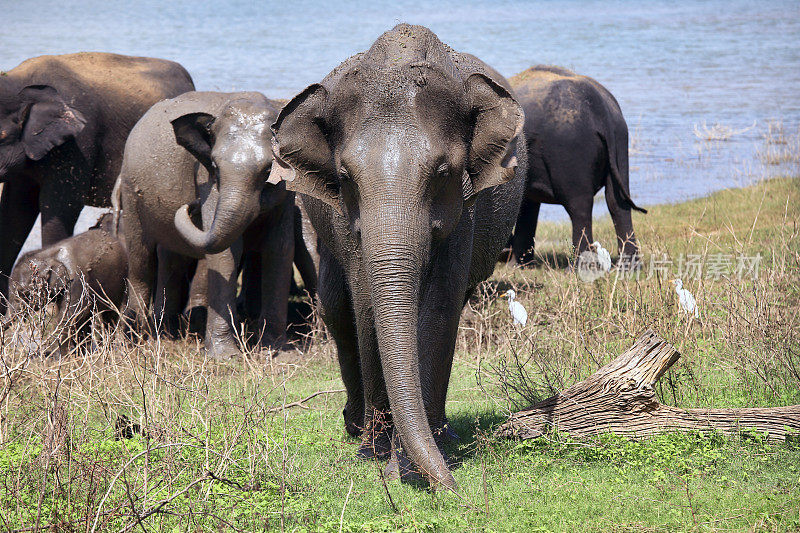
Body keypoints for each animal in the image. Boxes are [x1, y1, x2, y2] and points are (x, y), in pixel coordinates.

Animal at [3, 213, 127, 358]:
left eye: (25, 294)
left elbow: (68, 317)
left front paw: (64, 359)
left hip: (119, 282)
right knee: (87, 320)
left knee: (109, 316)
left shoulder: (77, 281)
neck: (48, 255)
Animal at [117, 90, 296, 358]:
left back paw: (166, 333)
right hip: (131, 193)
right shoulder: (206, 180)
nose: (192, 206)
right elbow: (227, 253)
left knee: (172, 259)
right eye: (215, 165)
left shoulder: (288, 193)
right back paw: (131, 341)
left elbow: (280, 248)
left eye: (268, 170)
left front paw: (276, 352)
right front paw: (226, 357)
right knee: (141, 260)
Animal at [268, 26, 528, 490]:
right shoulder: (347, 219)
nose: (450, 487)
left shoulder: (465, 209)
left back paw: (443, 434)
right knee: (337, 309)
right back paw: (355, 428)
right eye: (345, 176)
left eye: (443, 173)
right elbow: (368, 306)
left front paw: (408, 463)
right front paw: (375, 456)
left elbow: (439, 309)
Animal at [510, 66, 648, 266]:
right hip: (620, 140)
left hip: (570, 146)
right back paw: (629, 267)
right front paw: (519, 266)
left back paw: (577, 268)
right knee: (617, 202)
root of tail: (600, 108)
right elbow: (526, 204)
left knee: (579, 206)